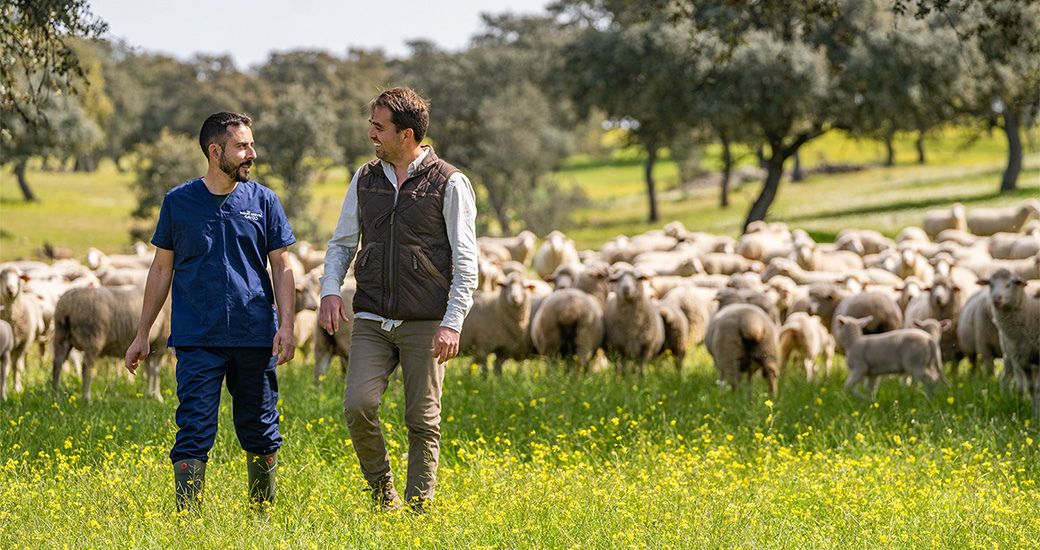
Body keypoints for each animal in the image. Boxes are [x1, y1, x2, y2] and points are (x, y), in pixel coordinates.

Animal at [0, 266, 44, 399]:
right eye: (1, 276)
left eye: (19, 277)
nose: (10, 289)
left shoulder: (22, 345)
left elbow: (18, 367)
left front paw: (17, 389)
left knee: (16, 365)